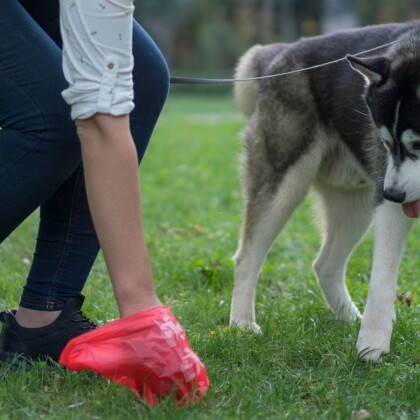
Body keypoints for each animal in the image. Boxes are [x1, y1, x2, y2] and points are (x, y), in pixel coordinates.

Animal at [230, 21, 420, 360]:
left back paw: (350, 318)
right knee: (246, 258)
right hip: (286, 183)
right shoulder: (390, 204)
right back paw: (242, 325)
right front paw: (372, 345)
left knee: (325, 265)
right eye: (387, 143)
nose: (394, 195)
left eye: (418, 144)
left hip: (356, 202)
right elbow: (383, 279)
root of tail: (280, 52)